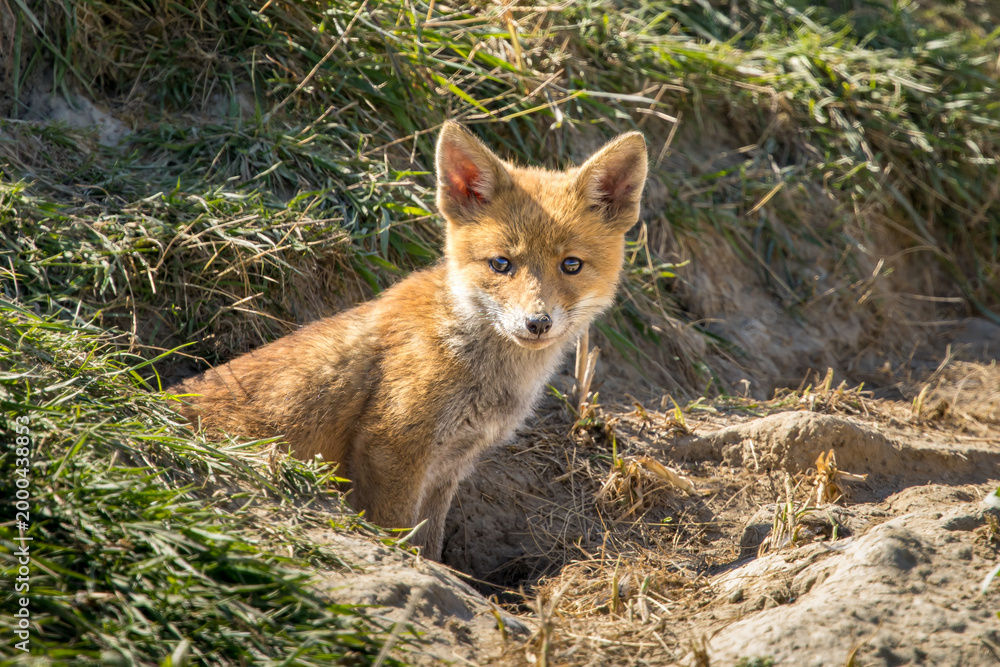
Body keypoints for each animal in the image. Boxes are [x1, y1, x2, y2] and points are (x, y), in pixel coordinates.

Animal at [171, 121, 648, 561]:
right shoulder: (391, 448)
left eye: (571, 265)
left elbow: (430, 547)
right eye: (501, 264)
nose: (537, 323)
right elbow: (398, 536)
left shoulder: (448, 467)